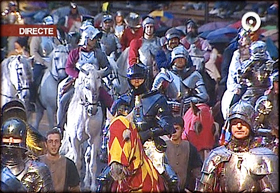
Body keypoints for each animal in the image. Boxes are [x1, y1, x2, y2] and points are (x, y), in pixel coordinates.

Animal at [64, 62, 105, 191]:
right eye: (87, 86)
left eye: (100, 87)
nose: (93, 109)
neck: (85, 116)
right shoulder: (75, 140)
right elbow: (77, 162)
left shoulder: (95, 139)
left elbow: (92, 165)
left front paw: (92, 186)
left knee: (87, 158)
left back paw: (87, 183)